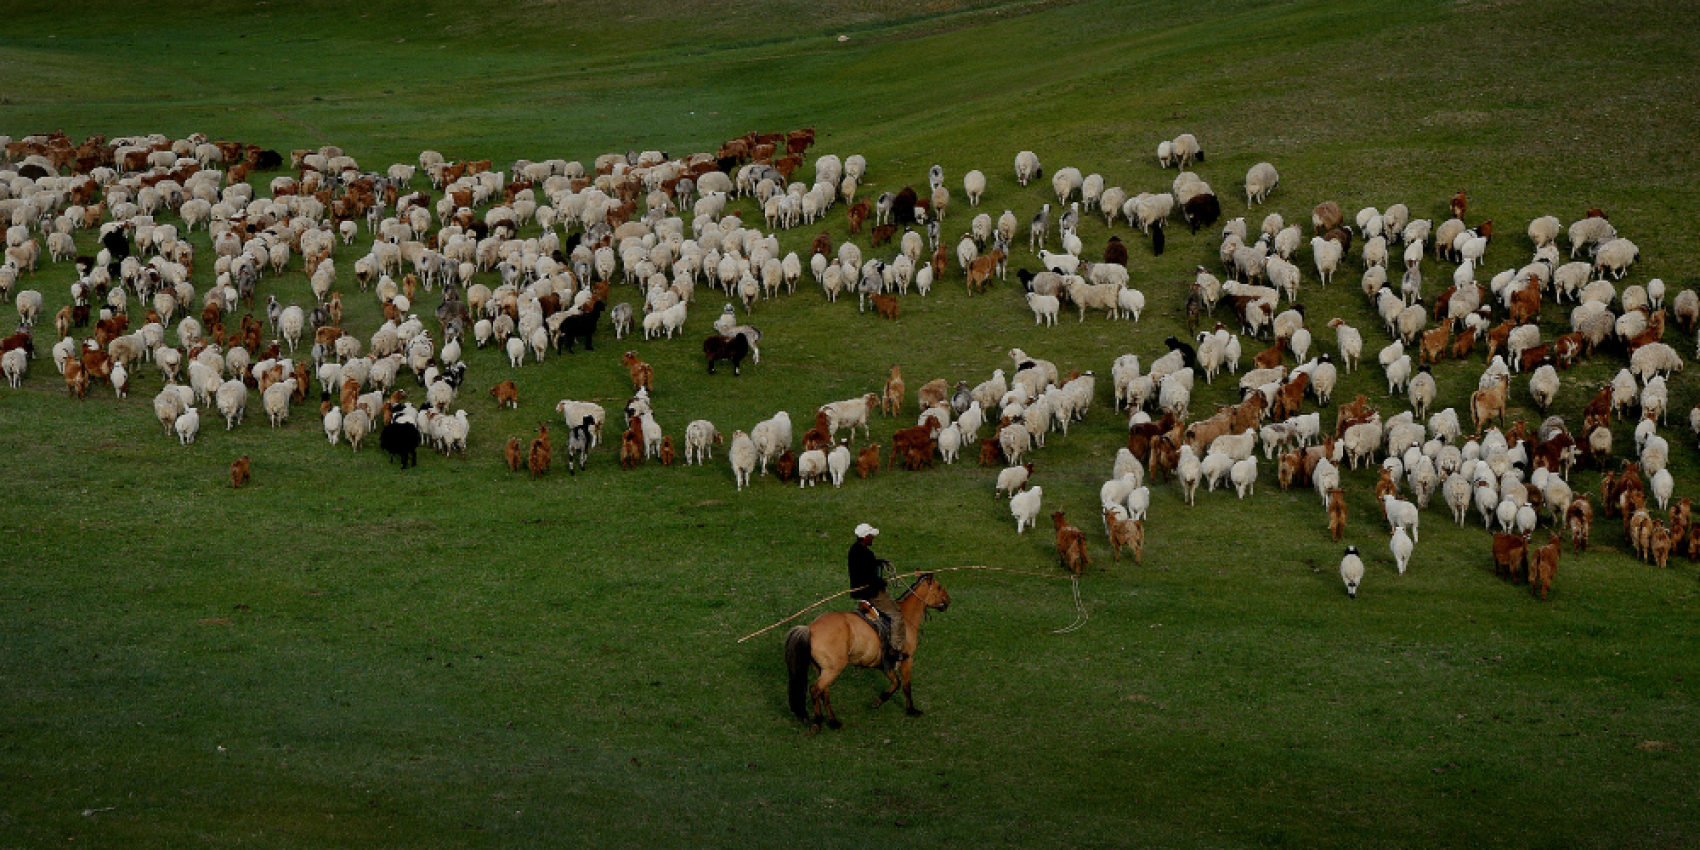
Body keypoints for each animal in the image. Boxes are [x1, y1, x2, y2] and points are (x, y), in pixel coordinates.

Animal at [785, 574, 952, 727]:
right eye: (938, 587)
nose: (948, 600)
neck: (906, 618)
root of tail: (810, 629)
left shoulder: (885, 663)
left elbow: (896, 682)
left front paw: (879, 701)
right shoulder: (907, 659)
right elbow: (905, 685)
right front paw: (911, 710)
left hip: (822, 669)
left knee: (824, 692)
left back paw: (833, 722)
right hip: (833, 669)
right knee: (815, 690)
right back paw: (818, 723)